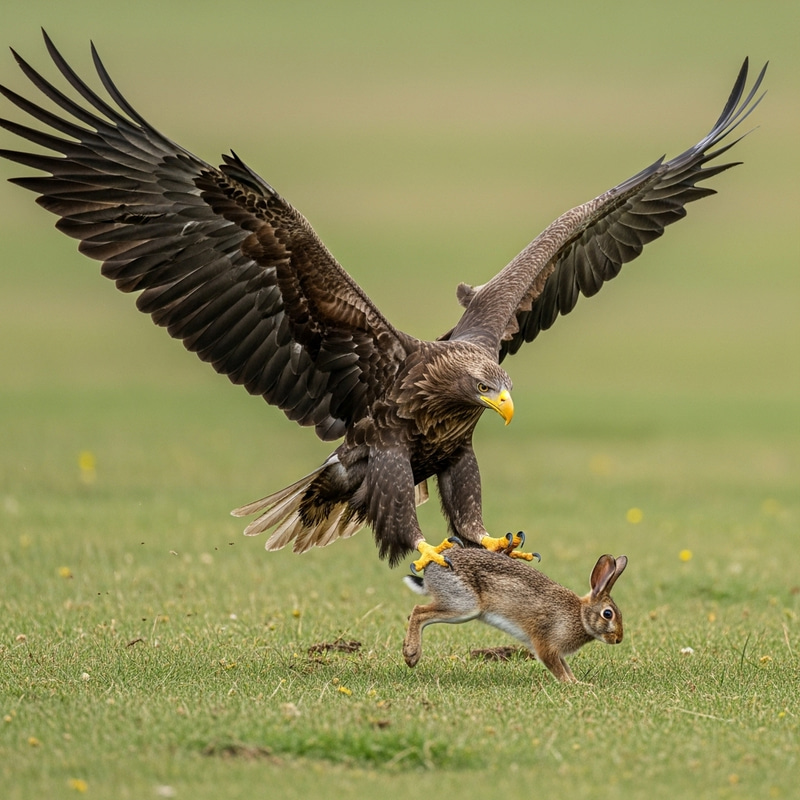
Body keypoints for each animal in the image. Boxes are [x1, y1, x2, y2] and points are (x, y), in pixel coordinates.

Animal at [402, 542, 627, 683]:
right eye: (608, 614)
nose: (618, 639)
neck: (580, 616)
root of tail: (431, 568)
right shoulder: (546, 644)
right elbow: (556, 667)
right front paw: (574, 685)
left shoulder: (556, 649)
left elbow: (565, 666)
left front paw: (577, 681)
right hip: (463, 605)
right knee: (418, 611)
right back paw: (411, 654)